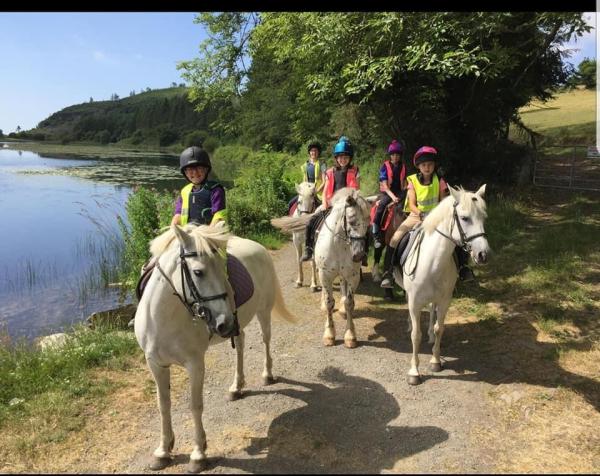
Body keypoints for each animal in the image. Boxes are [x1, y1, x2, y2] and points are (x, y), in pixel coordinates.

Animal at [134, 223, 298, 472]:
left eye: (223, 268)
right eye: (198, 272)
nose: (224, 321)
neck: (163, 318)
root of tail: (258, 247)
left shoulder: (195, 364)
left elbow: (195, 406)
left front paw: (198, 454)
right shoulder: (155, 364)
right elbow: (163, 405)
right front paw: (163, 451)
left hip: (263, 312)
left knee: (265, 340)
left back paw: (267, 375)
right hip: (239, 327)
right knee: (240, 344)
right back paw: (236, 387)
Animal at [394, 184, 492, 384]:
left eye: (483, 217)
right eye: (464, 218)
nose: (483, 255)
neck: (432, 262)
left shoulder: (445, 300)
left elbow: (440, 329)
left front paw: (435, 361)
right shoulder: (415, 302)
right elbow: (415, 335)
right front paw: (414, 372)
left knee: (432, 312)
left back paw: (430, 335)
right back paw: (410, 324)